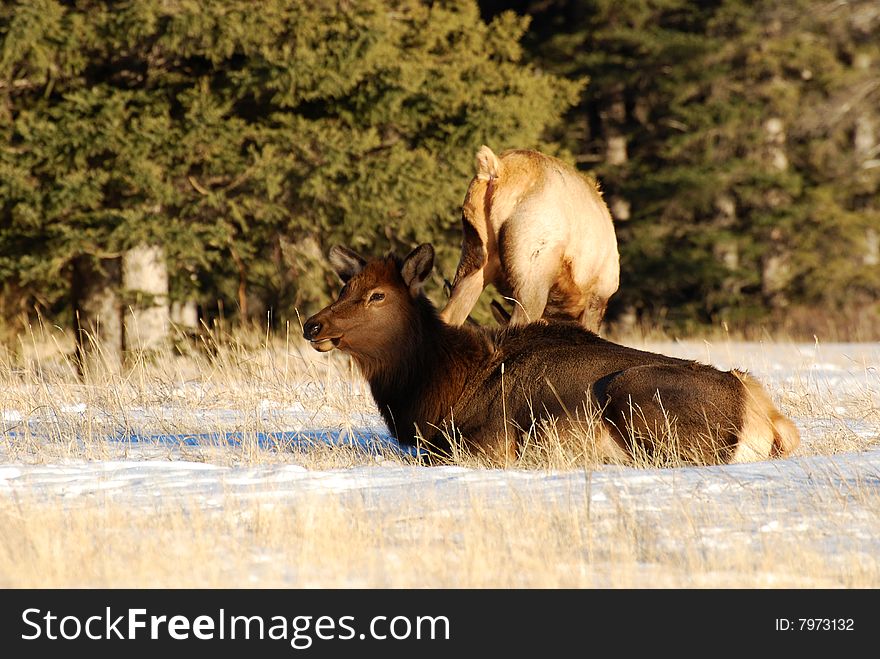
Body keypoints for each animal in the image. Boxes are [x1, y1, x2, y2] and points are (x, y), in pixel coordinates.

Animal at [300, 245, 796, 466]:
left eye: (377, 295)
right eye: (345, 287)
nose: (313, 325)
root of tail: (767, 419)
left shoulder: (489, 442)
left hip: (636, 396)